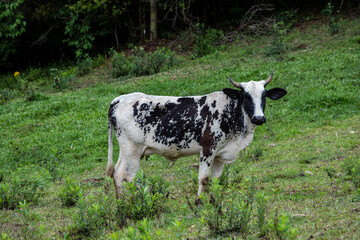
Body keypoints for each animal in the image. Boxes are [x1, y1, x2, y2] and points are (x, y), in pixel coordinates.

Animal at [105, 71, 286, 202]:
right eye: (246, 96)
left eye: (264, 96)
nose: (259, 118)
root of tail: (120, 99)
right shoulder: (207, 149)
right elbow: (204, 178)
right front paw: (199, 201)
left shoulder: (220, 154)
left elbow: (215, 180)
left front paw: (214, 201)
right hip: (132, 151)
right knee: (128, 176)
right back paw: (140, 201)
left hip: (126, 151)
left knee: (117, 174)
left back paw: (121, 203)